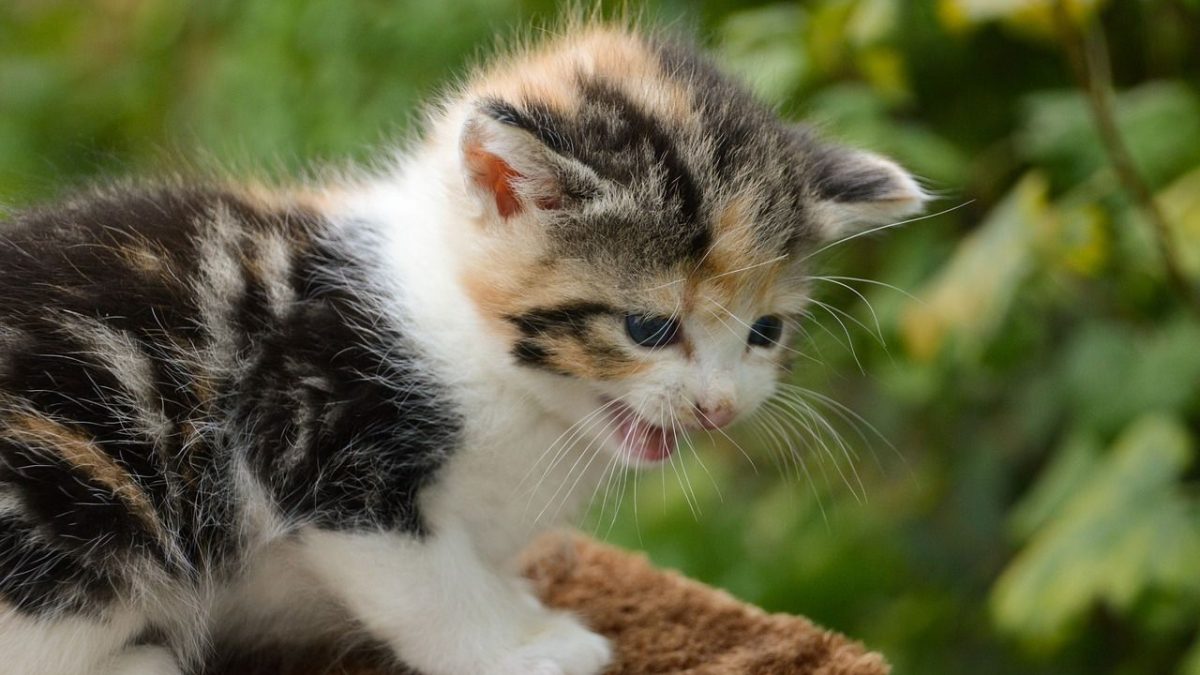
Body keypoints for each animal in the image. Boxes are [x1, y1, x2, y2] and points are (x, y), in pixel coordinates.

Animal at [0, 21, 926, 672]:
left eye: (766, 332)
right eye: (649, 328)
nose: (719, 406)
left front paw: (520, 606)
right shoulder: (309, 421)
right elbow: (427, 584)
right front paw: (522, 646)